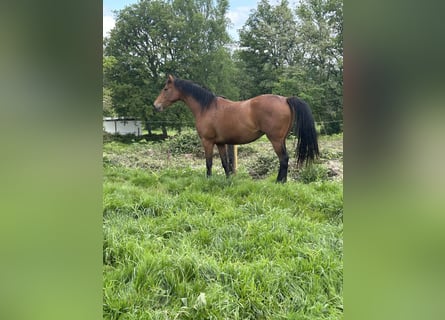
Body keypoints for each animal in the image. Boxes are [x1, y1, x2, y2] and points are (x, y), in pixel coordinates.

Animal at [154, 73, 318, 181]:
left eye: (165, 89)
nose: (156, 106)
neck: (206, 107)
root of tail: (285, 99)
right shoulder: (220, 143)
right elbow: (225, 163)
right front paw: (228, 181)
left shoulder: (207, 142)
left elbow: (209, 163)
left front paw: (208, 181)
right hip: (281, 139)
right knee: (285, 160)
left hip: (275, 140)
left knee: (283, 159)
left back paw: (279, 182)